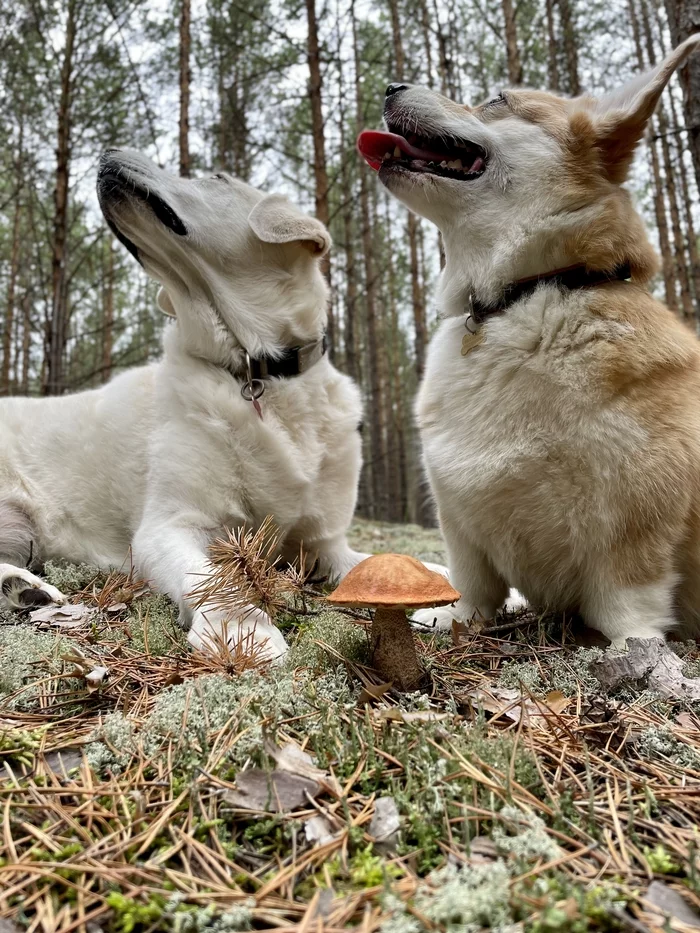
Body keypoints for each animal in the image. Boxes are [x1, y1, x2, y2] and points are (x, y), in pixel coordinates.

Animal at [0, 149, 370, 660]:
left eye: (215, 177)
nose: (108, 151)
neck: (255, 369)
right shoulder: (168, 526)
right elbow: (213, 577)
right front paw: (244, 629)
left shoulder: (324, 541)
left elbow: (373, 562)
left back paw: (21, 588)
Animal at [360, 40, 700, 644]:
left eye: (498, 99)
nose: (390, 86)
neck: (518, 296)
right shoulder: (460, 524)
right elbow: (474, 589)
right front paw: (450, 617)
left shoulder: (639, 528)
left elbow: (626, 606)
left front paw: (637, 653)